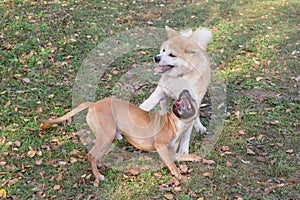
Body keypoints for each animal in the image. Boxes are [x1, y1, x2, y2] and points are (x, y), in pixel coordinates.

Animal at [40, 90, 202, 187]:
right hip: (106, 136)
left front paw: (201, 160)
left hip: (107, 138)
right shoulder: (161, 147)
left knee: (96, 156)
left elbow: (191, 155)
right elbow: (172, 165)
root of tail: (94, 104)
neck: (175, 122)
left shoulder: (173, 153)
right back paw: (98, 176)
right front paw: (181, 177)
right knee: (91, 155)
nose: (185, 90)